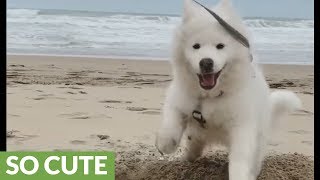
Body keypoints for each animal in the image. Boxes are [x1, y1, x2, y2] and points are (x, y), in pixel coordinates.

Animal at [156, 0, 302, 179]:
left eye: (220, 46)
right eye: (196, 46)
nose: (206, 62)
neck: (210, 97)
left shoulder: (242, 126)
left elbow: (240, 158)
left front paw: (240, 175)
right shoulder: (178, 99)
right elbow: (171, 124)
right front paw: (165, 144)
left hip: (258, 139)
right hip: (196, 135)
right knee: (193, 147)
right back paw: (186, 159)